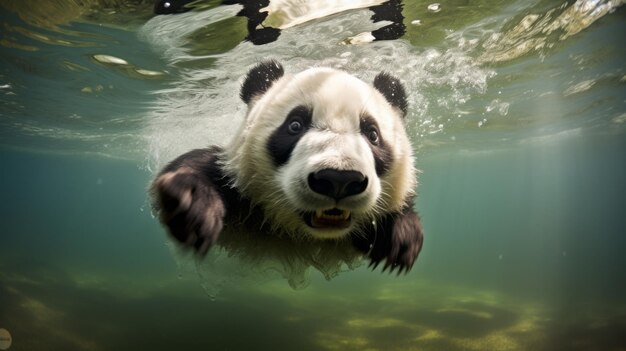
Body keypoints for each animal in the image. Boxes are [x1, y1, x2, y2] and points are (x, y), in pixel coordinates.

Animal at [151, 60, 422, 276]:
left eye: (372, 134)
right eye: (295, 125)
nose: (338, 180)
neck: (300, 232)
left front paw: (400, 238)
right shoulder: (241, 194)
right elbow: (197, 170)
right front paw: (194, 208)